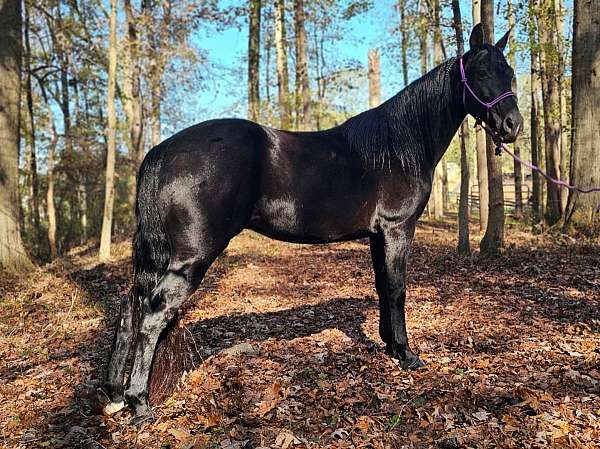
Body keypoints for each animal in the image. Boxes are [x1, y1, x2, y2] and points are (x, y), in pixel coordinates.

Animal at [105, 24, 524, 424]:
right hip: (191, 257)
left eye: (511, 73)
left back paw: (114, 394)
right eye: (481, 72)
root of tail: (163, 150)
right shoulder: (397, 228)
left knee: (131, 306)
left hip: (157, 257)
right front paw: (406, 354)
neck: (398, 146)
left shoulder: (377, 235)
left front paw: (389, 345)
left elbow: (382, 287)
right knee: (154, 313)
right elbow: (397, 289)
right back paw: (139, 404)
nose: (512, 125)